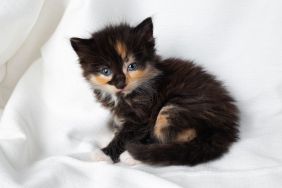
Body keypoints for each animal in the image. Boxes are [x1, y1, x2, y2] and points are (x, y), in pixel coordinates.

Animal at [70, 17, 238, 164]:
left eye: (132, 66)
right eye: (106, 71)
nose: (120, 83)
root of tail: (226, 126)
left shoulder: (143, 114)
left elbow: (127, 135)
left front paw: (105, 153)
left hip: (177, 108)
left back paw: (132, 156)